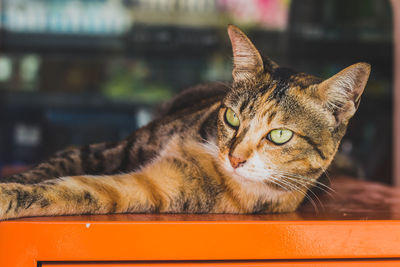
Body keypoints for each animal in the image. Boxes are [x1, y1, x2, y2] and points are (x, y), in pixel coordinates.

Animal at [0, 26, 372, 221]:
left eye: (280, 135)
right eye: (232, 117)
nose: (234, 158)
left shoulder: (148, 188)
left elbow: (73, 190)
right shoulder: (115, 148)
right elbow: (54, 166)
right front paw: (17, 180)